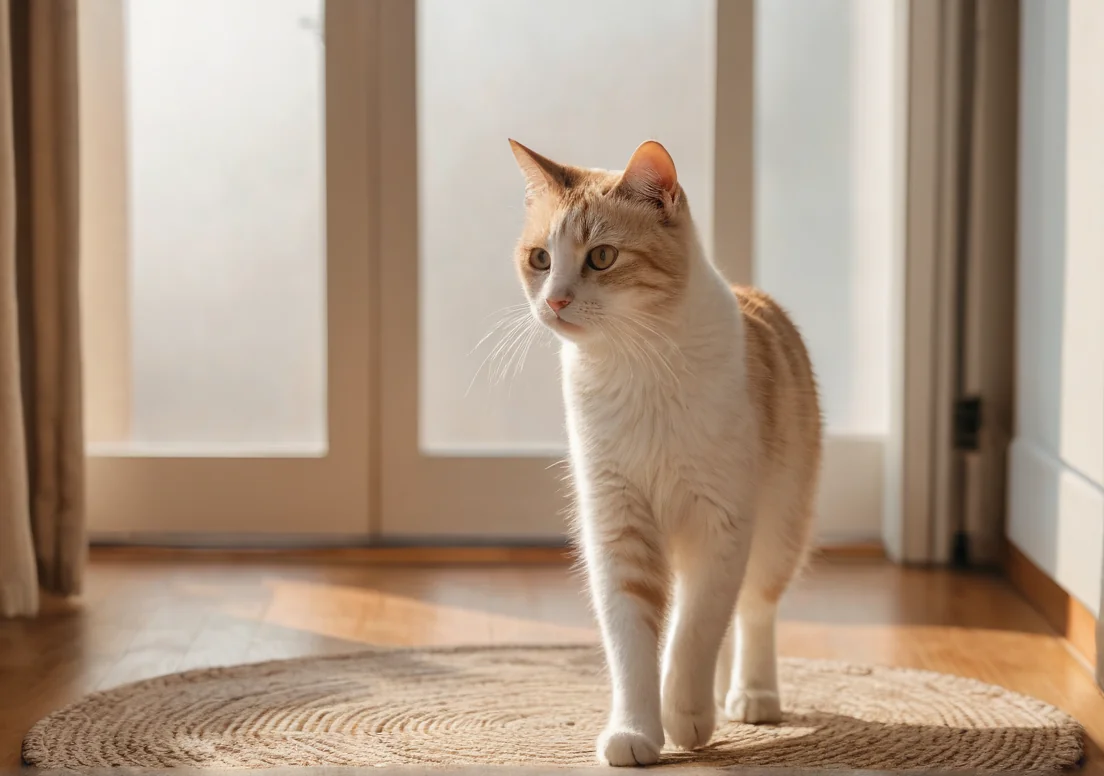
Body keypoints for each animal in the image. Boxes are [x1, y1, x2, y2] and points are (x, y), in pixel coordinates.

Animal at [507, 137, 821, 763]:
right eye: (541, 260)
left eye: (602, 257)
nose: (554, 302)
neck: (636, 366)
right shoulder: (619, 525)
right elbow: (633, 643)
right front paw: (637, 732)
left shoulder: (721, 522)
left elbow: (695, 630)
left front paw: (686, 715)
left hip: (778, 528)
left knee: (754, 611)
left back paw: (750, 695)